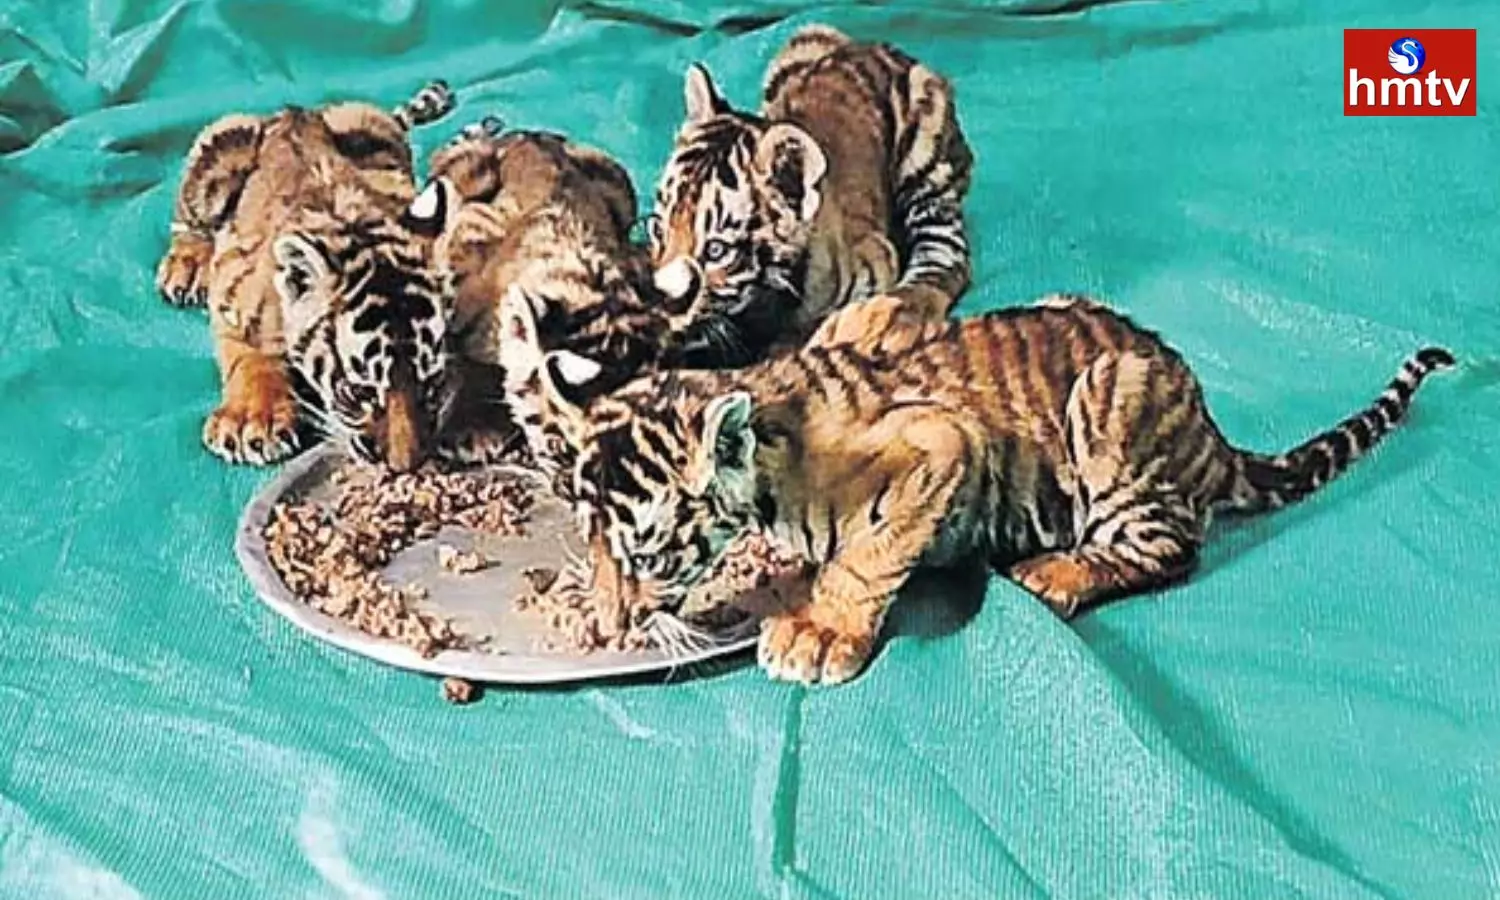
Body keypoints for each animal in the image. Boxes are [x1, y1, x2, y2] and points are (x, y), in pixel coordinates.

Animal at [154, 81, 459, 469]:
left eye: (431, 382)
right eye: (357, 391)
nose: (405, 466)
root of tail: (294, 112)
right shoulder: (232, 296)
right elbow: (248, 355)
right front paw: (253, 419)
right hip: (221, 142)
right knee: (189, 220)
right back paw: (188, 263)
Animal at [536, 294, 1454, 684]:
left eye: (648, 555)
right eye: (594, 544)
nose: (609, 625)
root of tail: (1209, 431)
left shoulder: (941, 445)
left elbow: (866, 556)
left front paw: (820, 633)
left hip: (1111, 403)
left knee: (1172, 546)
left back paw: (1059, 573)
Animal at [645, 24, 974, 368]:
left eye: (716, 251)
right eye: (657, 229)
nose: (662, 302)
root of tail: (876, 46)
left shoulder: (877, 261)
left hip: (926, 157)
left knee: (946, 254)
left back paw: (899, 314)